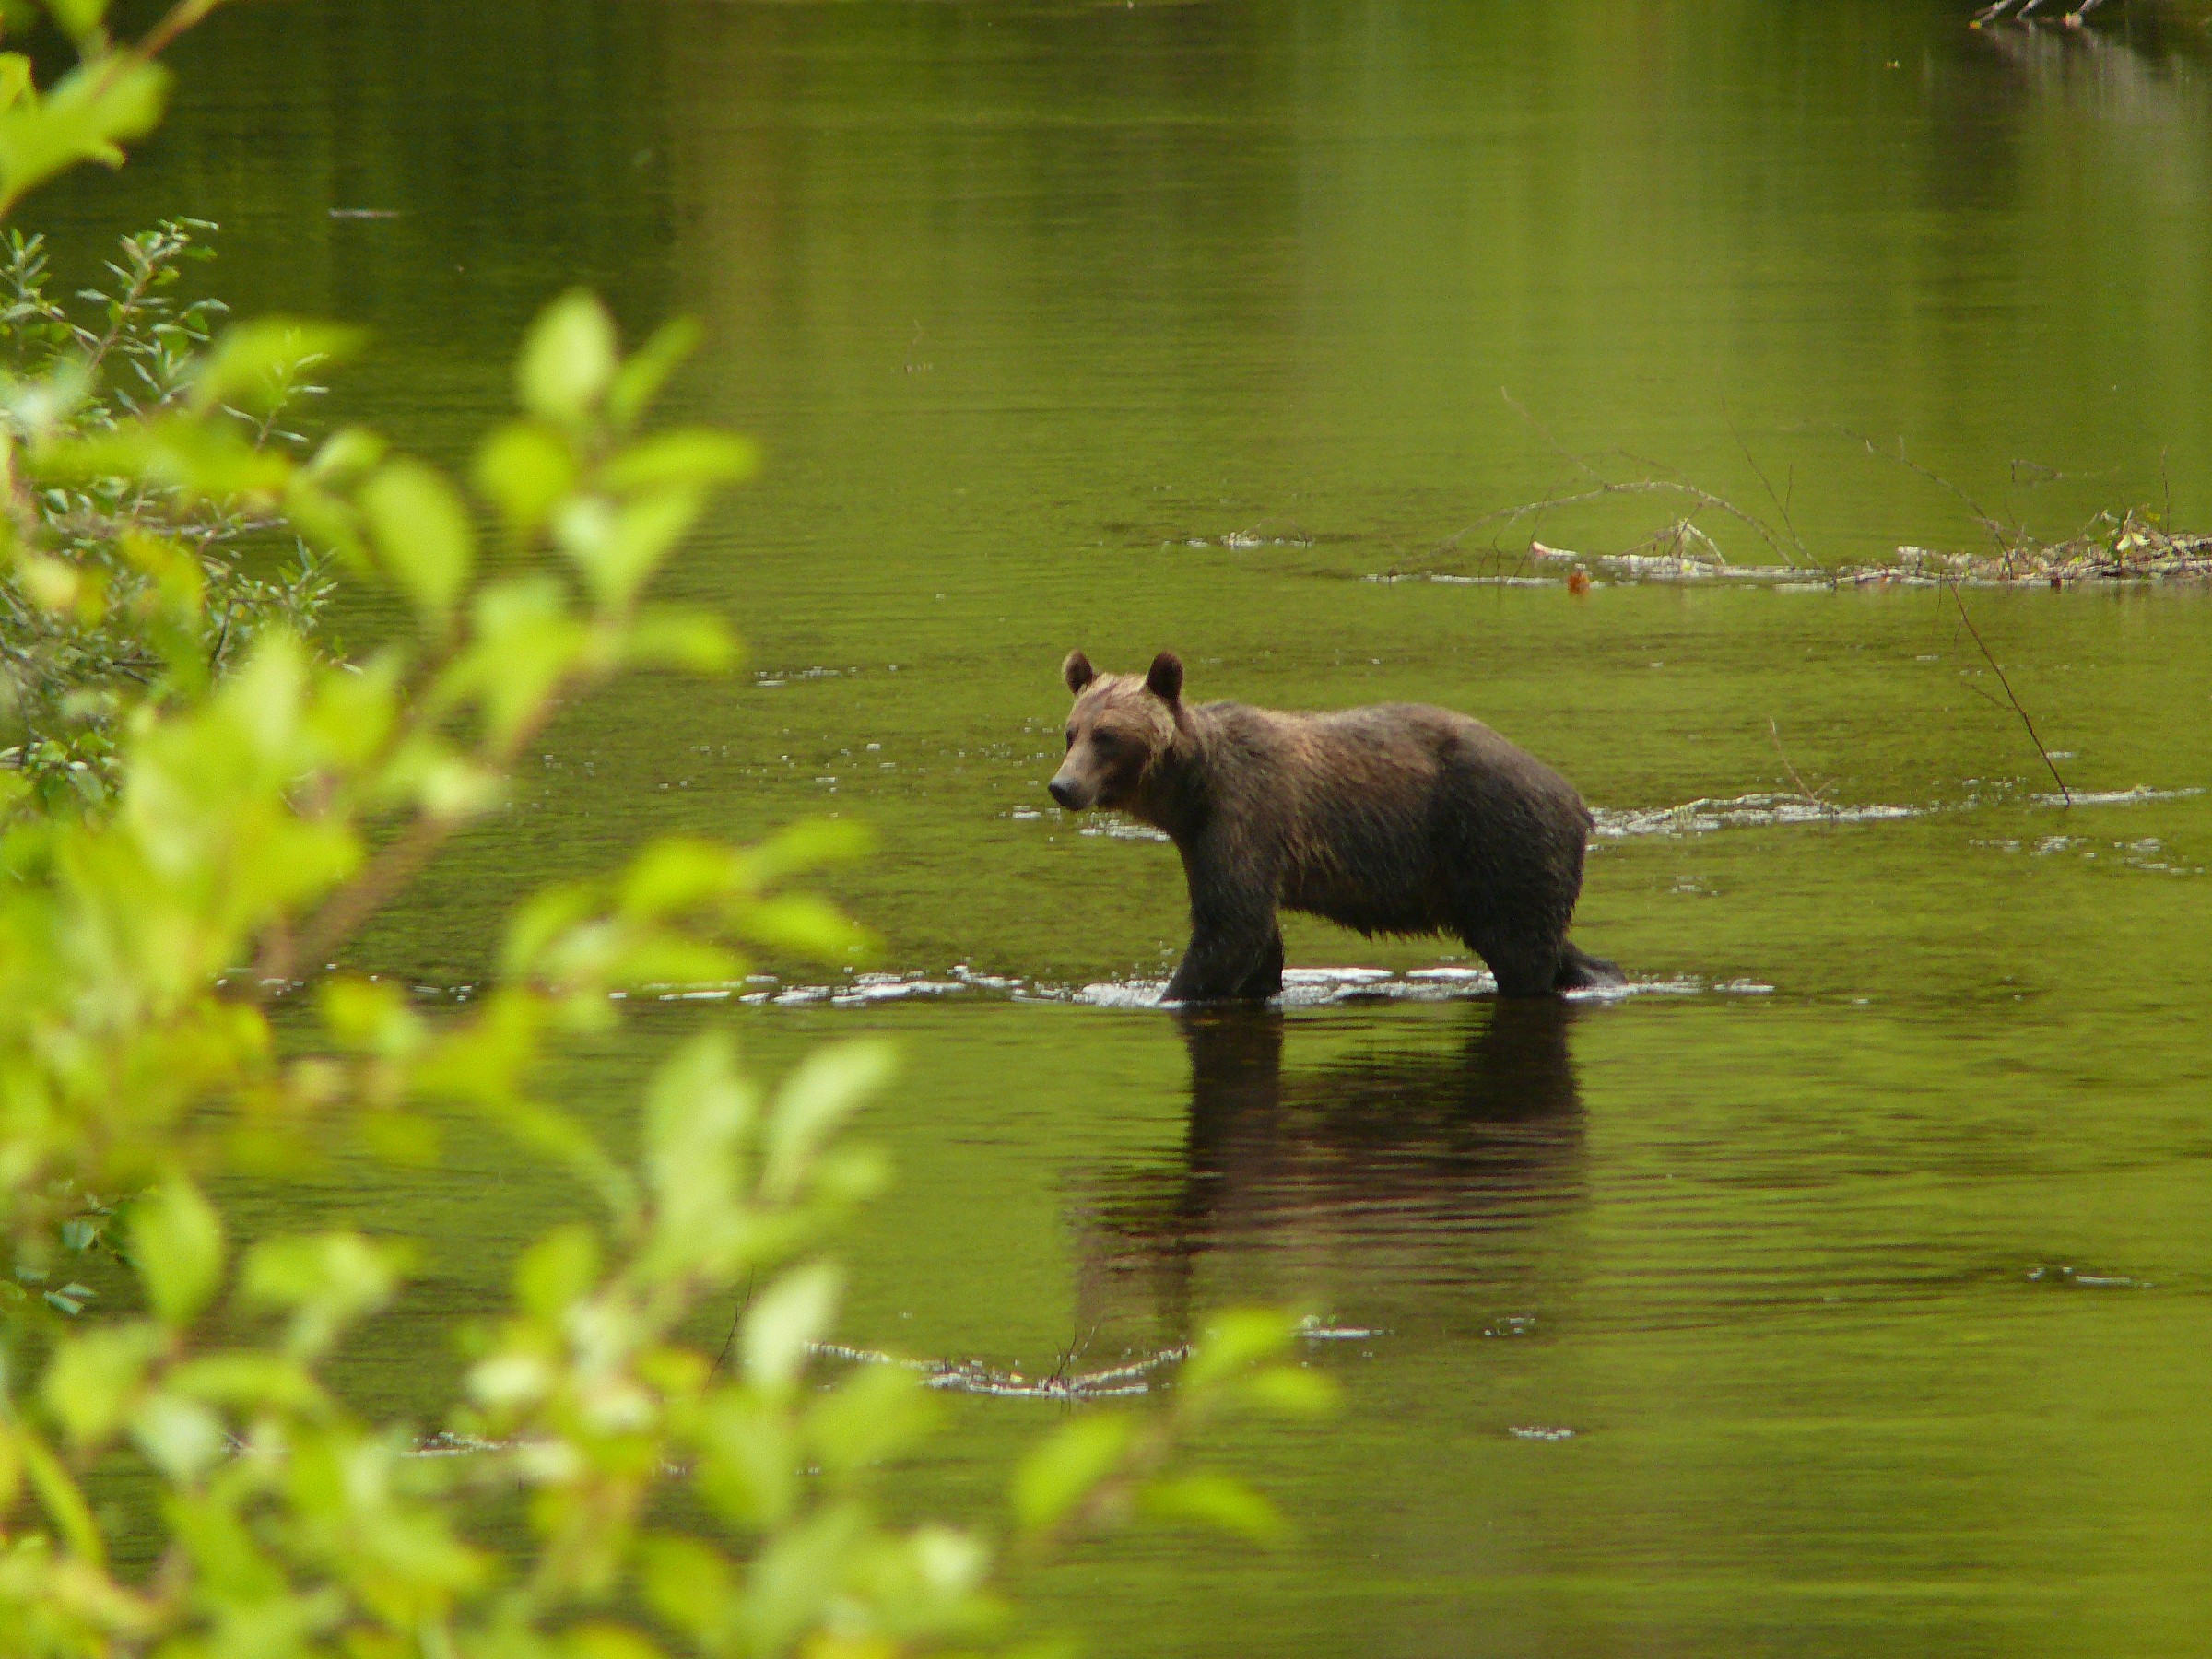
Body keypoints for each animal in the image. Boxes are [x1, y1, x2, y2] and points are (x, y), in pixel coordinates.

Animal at [1046, 650, 1621, 1001]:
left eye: (1107, 736)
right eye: (1071, 732)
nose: (1063, 786)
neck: (1191, 789)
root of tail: (1577, 801)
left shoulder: (1245, 815)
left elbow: (1230, 926)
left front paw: (1166, 993)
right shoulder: (1205, 838)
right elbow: (1256, 939)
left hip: (1500, 838)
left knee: (1522, 951)